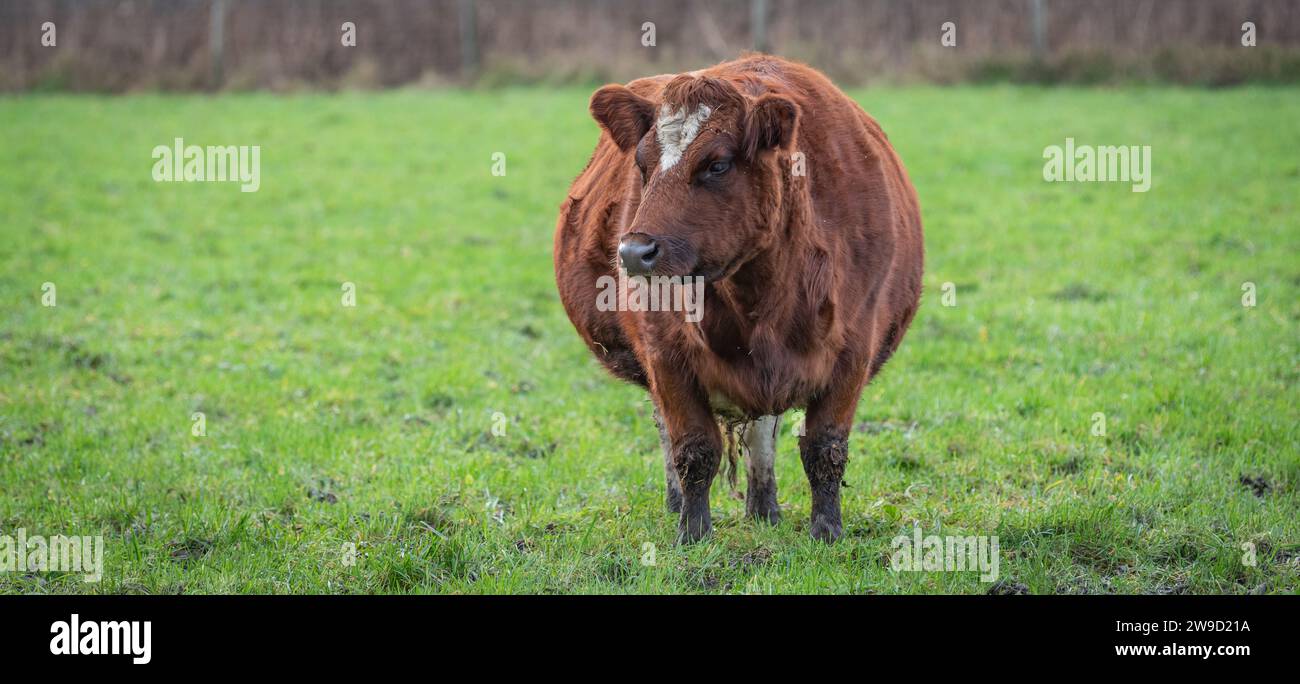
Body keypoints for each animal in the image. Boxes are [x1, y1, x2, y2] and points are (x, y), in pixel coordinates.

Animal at [553, 54, 923, 543]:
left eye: (717, 165)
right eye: (642, 164)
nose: (633, 252)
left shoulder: (854, 349)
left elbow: (824, 447)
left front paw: (826, 531)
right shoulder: (665, 354)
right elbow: (693, 447)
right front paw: (692, 533)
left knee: (762, 432)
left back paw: (764, 508)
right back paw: (681, 503)